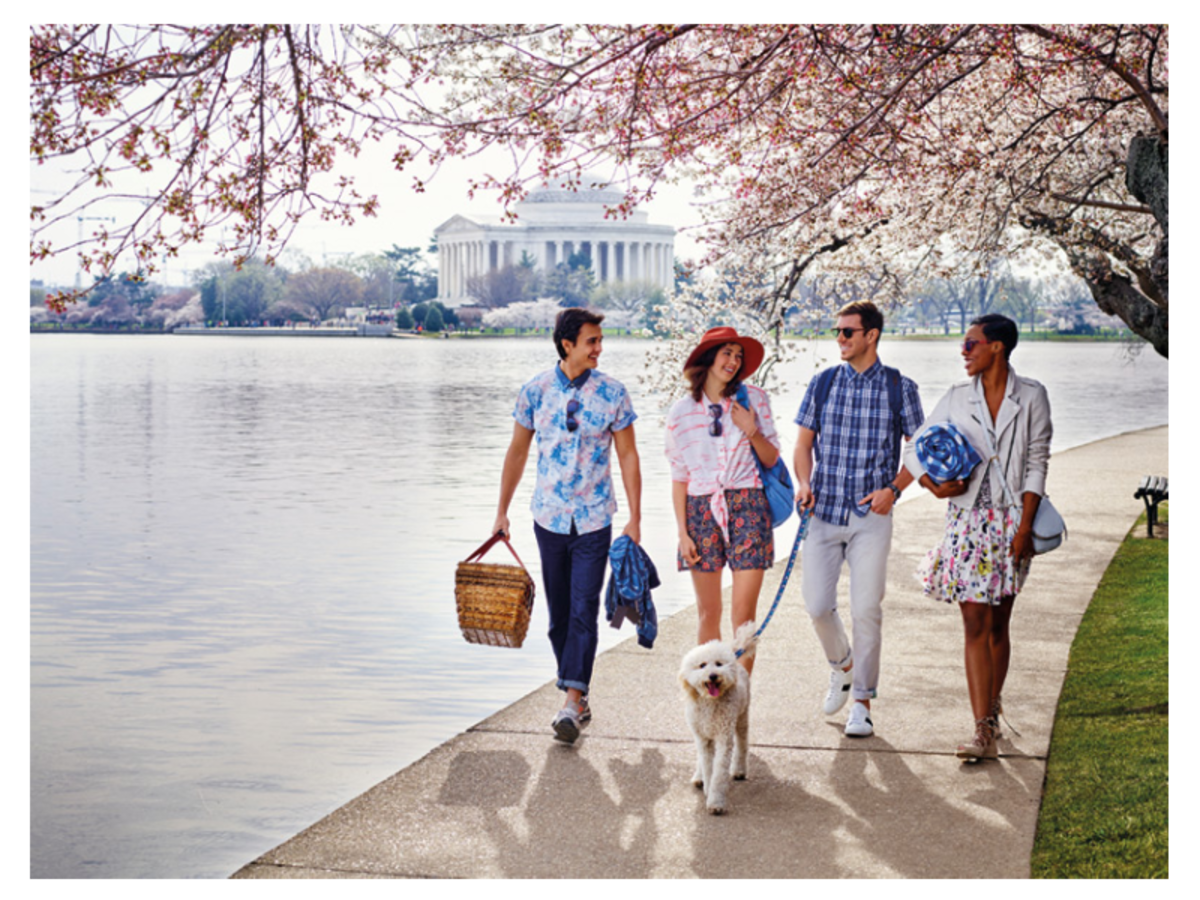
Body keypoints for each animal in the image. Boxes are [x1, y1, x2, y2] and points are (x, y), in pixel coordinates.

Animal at [681, 624, 753, 816]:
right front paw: (706, 784)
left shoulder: (723, 738)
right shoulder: (704, 739)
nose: (713, 675)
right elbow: (707, 765)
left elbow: (719, 772)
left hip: (742, 718)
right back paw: (699, 777)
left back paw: (739, 769)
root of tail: (735, 656)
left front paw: (715, 801)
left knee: (742, 744)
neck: (710, 702)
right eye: (702, 665)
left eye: (719, 664)